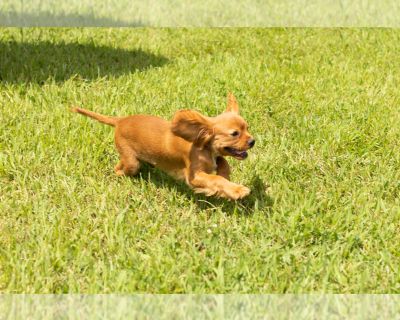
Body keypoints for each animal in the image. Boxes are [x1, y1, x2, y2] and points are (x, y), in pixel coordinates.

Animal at [72, 93, 255, 200]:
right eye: (235, 134)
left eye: (247, 128)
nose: (252, 141)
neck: (203, 148)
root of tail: (120, 120)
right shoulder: (193, 176)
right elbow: (216, 179)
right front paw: (238, 190)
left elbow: (223, 163)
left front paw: (227, 178)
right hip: (131, 162)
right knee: (121, 167)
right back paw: (120, 174)